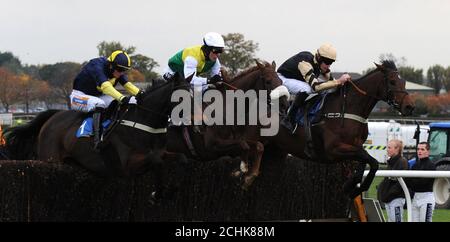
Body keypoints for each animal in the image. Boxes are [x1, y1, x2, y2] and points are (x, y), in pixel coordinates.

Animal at [167, 61, 290, 189]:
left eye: (281, 81)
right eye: (268, 81)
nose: (284, 105)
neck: (224, 111)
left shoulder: (235, 143)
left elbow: (258, 146)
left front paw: (248, 176)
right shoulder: (212, 146)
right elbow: (244, 145)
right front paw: (241, 170)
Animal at [268, 60, 414, 199]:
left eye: (403, 82)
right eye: (392, 81)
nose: (409, 107)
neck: (347, 109)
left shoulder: (356, 146)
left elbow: (367, 162)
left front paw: (352, 186)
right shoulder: (334, 149)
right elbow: (371, 161)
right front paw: (353, 187)